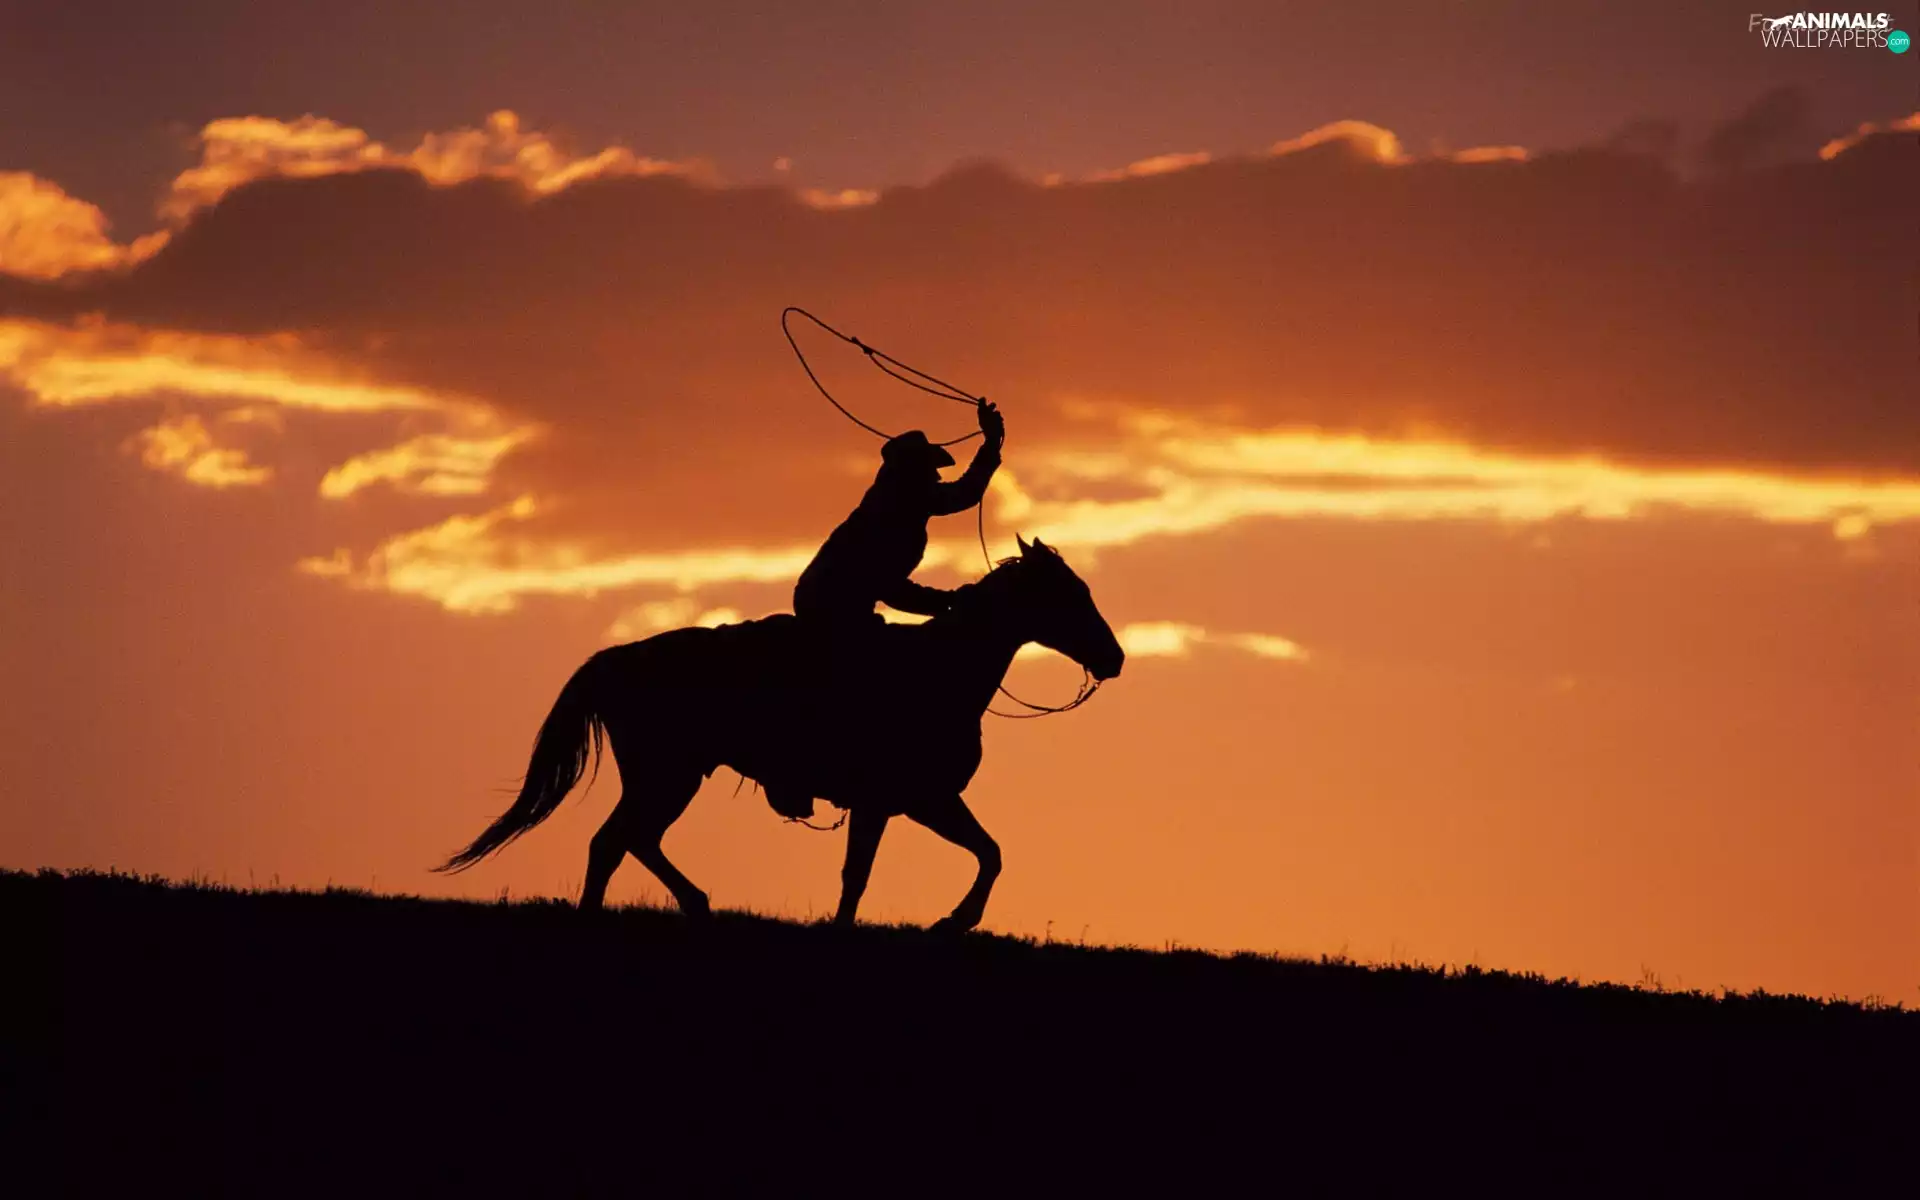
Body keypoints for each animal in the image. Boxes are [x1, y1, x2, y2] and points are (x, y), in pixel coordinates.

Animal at [436, 535, 1125, 933]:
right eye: (1070, 594)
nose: (1115, 658)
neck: (938, 671)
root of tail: (618, 657)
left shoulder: (924, 802)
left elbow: (989, 852)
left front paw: (952, 921)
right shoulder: (897, 802)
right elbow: (864, 874)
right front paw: (942, 922)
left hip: (670, 777)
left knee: (633, 840)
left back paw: (694, 903)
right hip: (667, 774)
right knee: (614, 842)